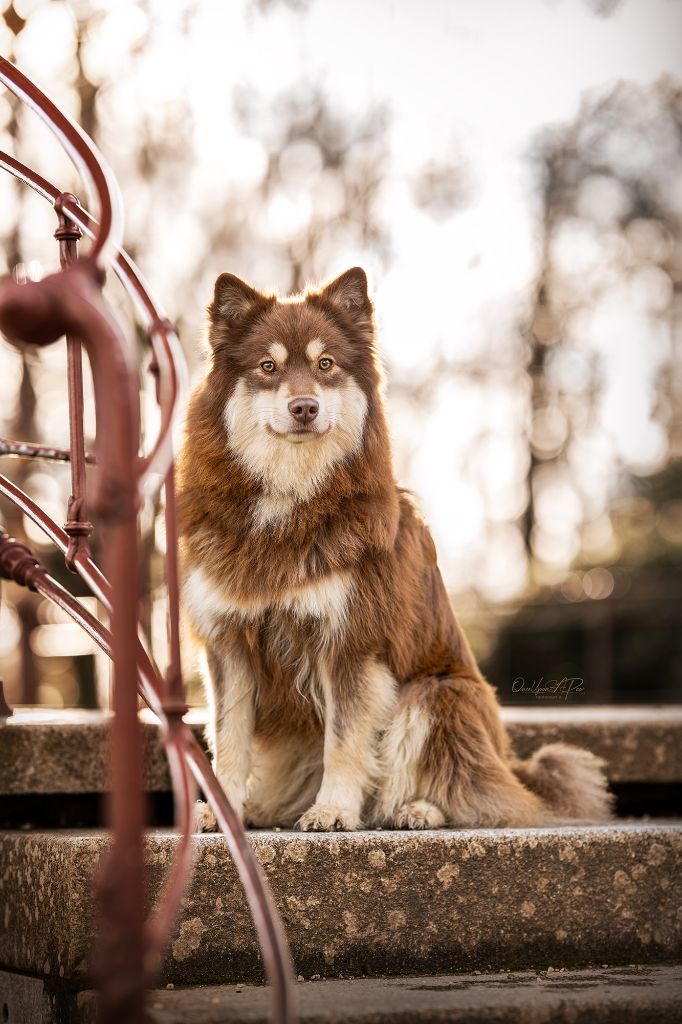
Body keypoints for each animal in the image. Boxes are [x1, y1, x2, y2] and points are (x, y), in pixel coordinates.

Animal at [176, 266, 610, 831]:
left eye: (326, 364)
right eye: (267, 367)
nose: (304, 407)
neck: (289, 499)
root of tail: (508, 764)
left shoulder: (351, 645)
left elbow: (343, 742)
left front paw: (334, 810)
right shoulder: (229, 644)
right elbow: (229, 741)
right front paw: (224, 811)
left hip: (438, 694)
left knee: (465, 791)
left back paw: (416, 810)